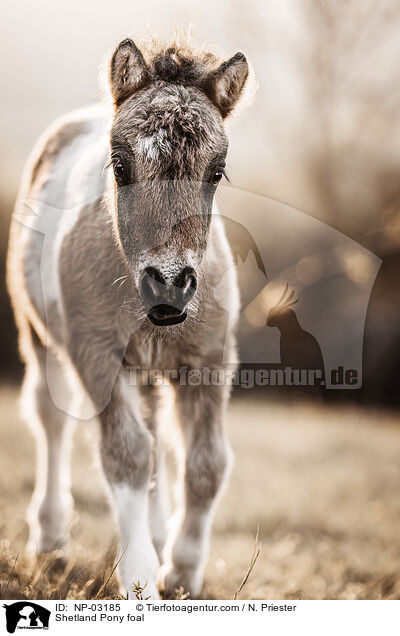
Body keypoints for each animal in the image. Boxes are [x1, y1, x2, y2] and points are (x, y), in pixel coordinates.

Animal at [6, 34, 252, 600]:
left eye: (216, 172)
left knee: (158, 429)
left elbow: (208, 462)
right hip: (38, 333)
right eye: (119, 166)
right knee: (51, 418)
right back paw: (50, 534)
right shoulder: (97, 356)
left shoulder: (209, 359)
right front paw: (140, 578)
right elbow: (126, 455)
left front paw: (182, 570)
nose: (169, 283)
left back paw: (160, 533)